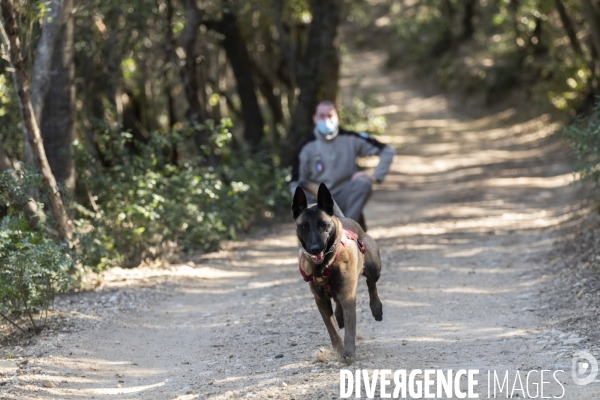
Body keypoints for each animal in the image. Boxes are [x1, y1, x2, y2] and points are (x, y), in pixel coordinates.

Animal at [292, 182, 384, 362]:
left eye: (323, 224)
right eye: (304, 226)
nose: (315, 249)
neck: (325, 265)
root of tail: (344, 218)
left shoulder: (348, 295)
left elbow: (350, 327)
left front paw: (348, 352)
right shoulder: (320, 300)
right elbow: (332, 330)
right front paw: (339, 349)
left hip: (373, 268)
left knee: (371, 283)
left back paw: (376, 307)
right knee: (337, 302)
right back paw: (339, 315)